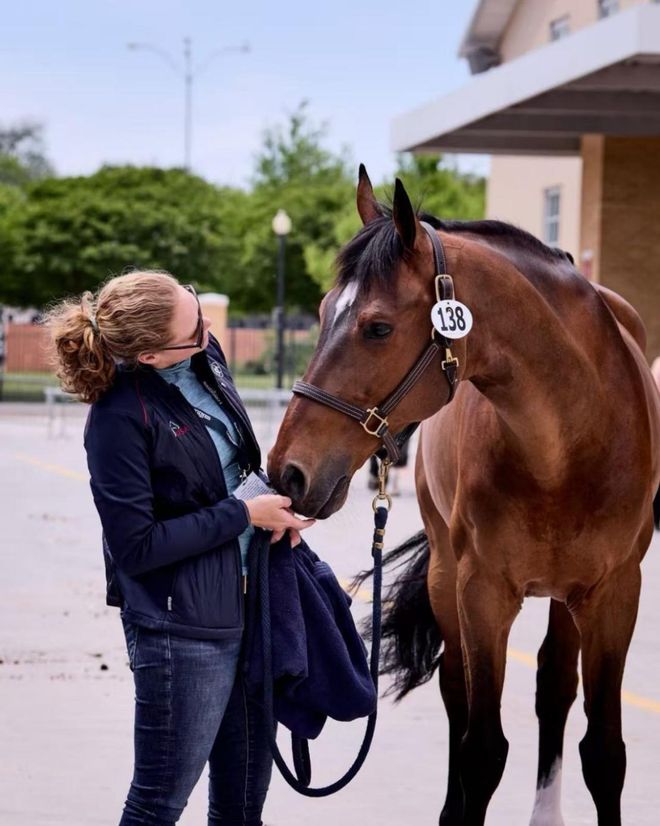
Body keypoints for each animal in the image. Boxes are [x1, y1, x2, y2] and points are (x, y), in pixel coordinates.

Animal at [267, 166, 660, 826]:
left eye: (377, 327)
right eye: (320, 312)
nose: (287, 472)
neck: (569, 439)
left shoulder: (615, 593)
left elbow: (605, 752)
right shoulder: (481, 592)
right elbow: (481, 749)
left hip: (567, 594)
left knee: (554, 683)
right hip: (447, 578)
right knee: (457, 689)